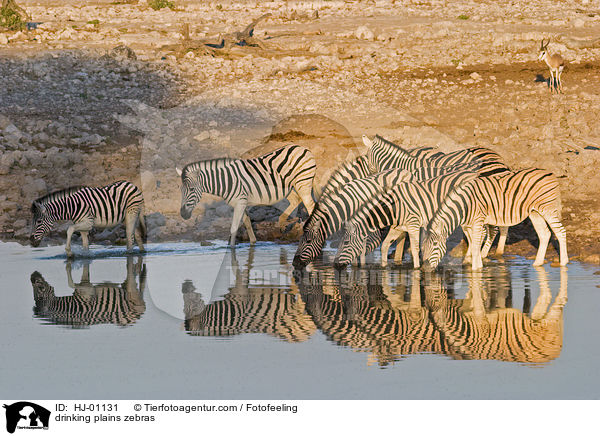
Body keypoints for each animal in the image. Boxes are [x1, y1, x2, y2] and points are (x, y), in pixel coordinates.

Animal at [177, 143, 316, 245]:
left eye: (192, 189)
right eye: (180, 190)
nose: (183, 214)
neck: (227, 181)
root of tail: (302, 148)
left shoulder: (240, 202)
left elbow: (234, 228)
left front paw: (231, 250)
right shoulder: (240, 202)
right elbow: (247, 223)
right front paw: (253, 243)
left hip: (303, 182)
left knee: (310, 205)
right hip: (288, 186)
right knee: (296, 200)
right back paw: (282, 222)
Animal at [332, 171, 478, 270]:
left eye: (345, 243)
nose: (335, 265)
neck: (393, 209)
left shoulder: (413, 225)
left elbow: (414, 248)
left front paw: (417, 268)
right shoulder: (397, 227)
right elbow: (384, 246)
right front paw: (384, 267)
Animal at [422, 169, 568, 270]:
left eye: (435, 245)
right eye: (423, 247)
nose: (425, 269)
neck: (464, 206)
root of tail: (549, 173)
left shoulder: (477, 221)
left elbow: (476, 244)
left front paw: (475, 269)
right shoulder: (468, 225)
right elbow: (473, 244)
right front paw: (475, 264)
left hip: (547, 209)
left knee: (560, 231)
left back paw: (563, 262)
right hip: (534, 212)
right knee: (545, 234)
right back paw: (537, 263)